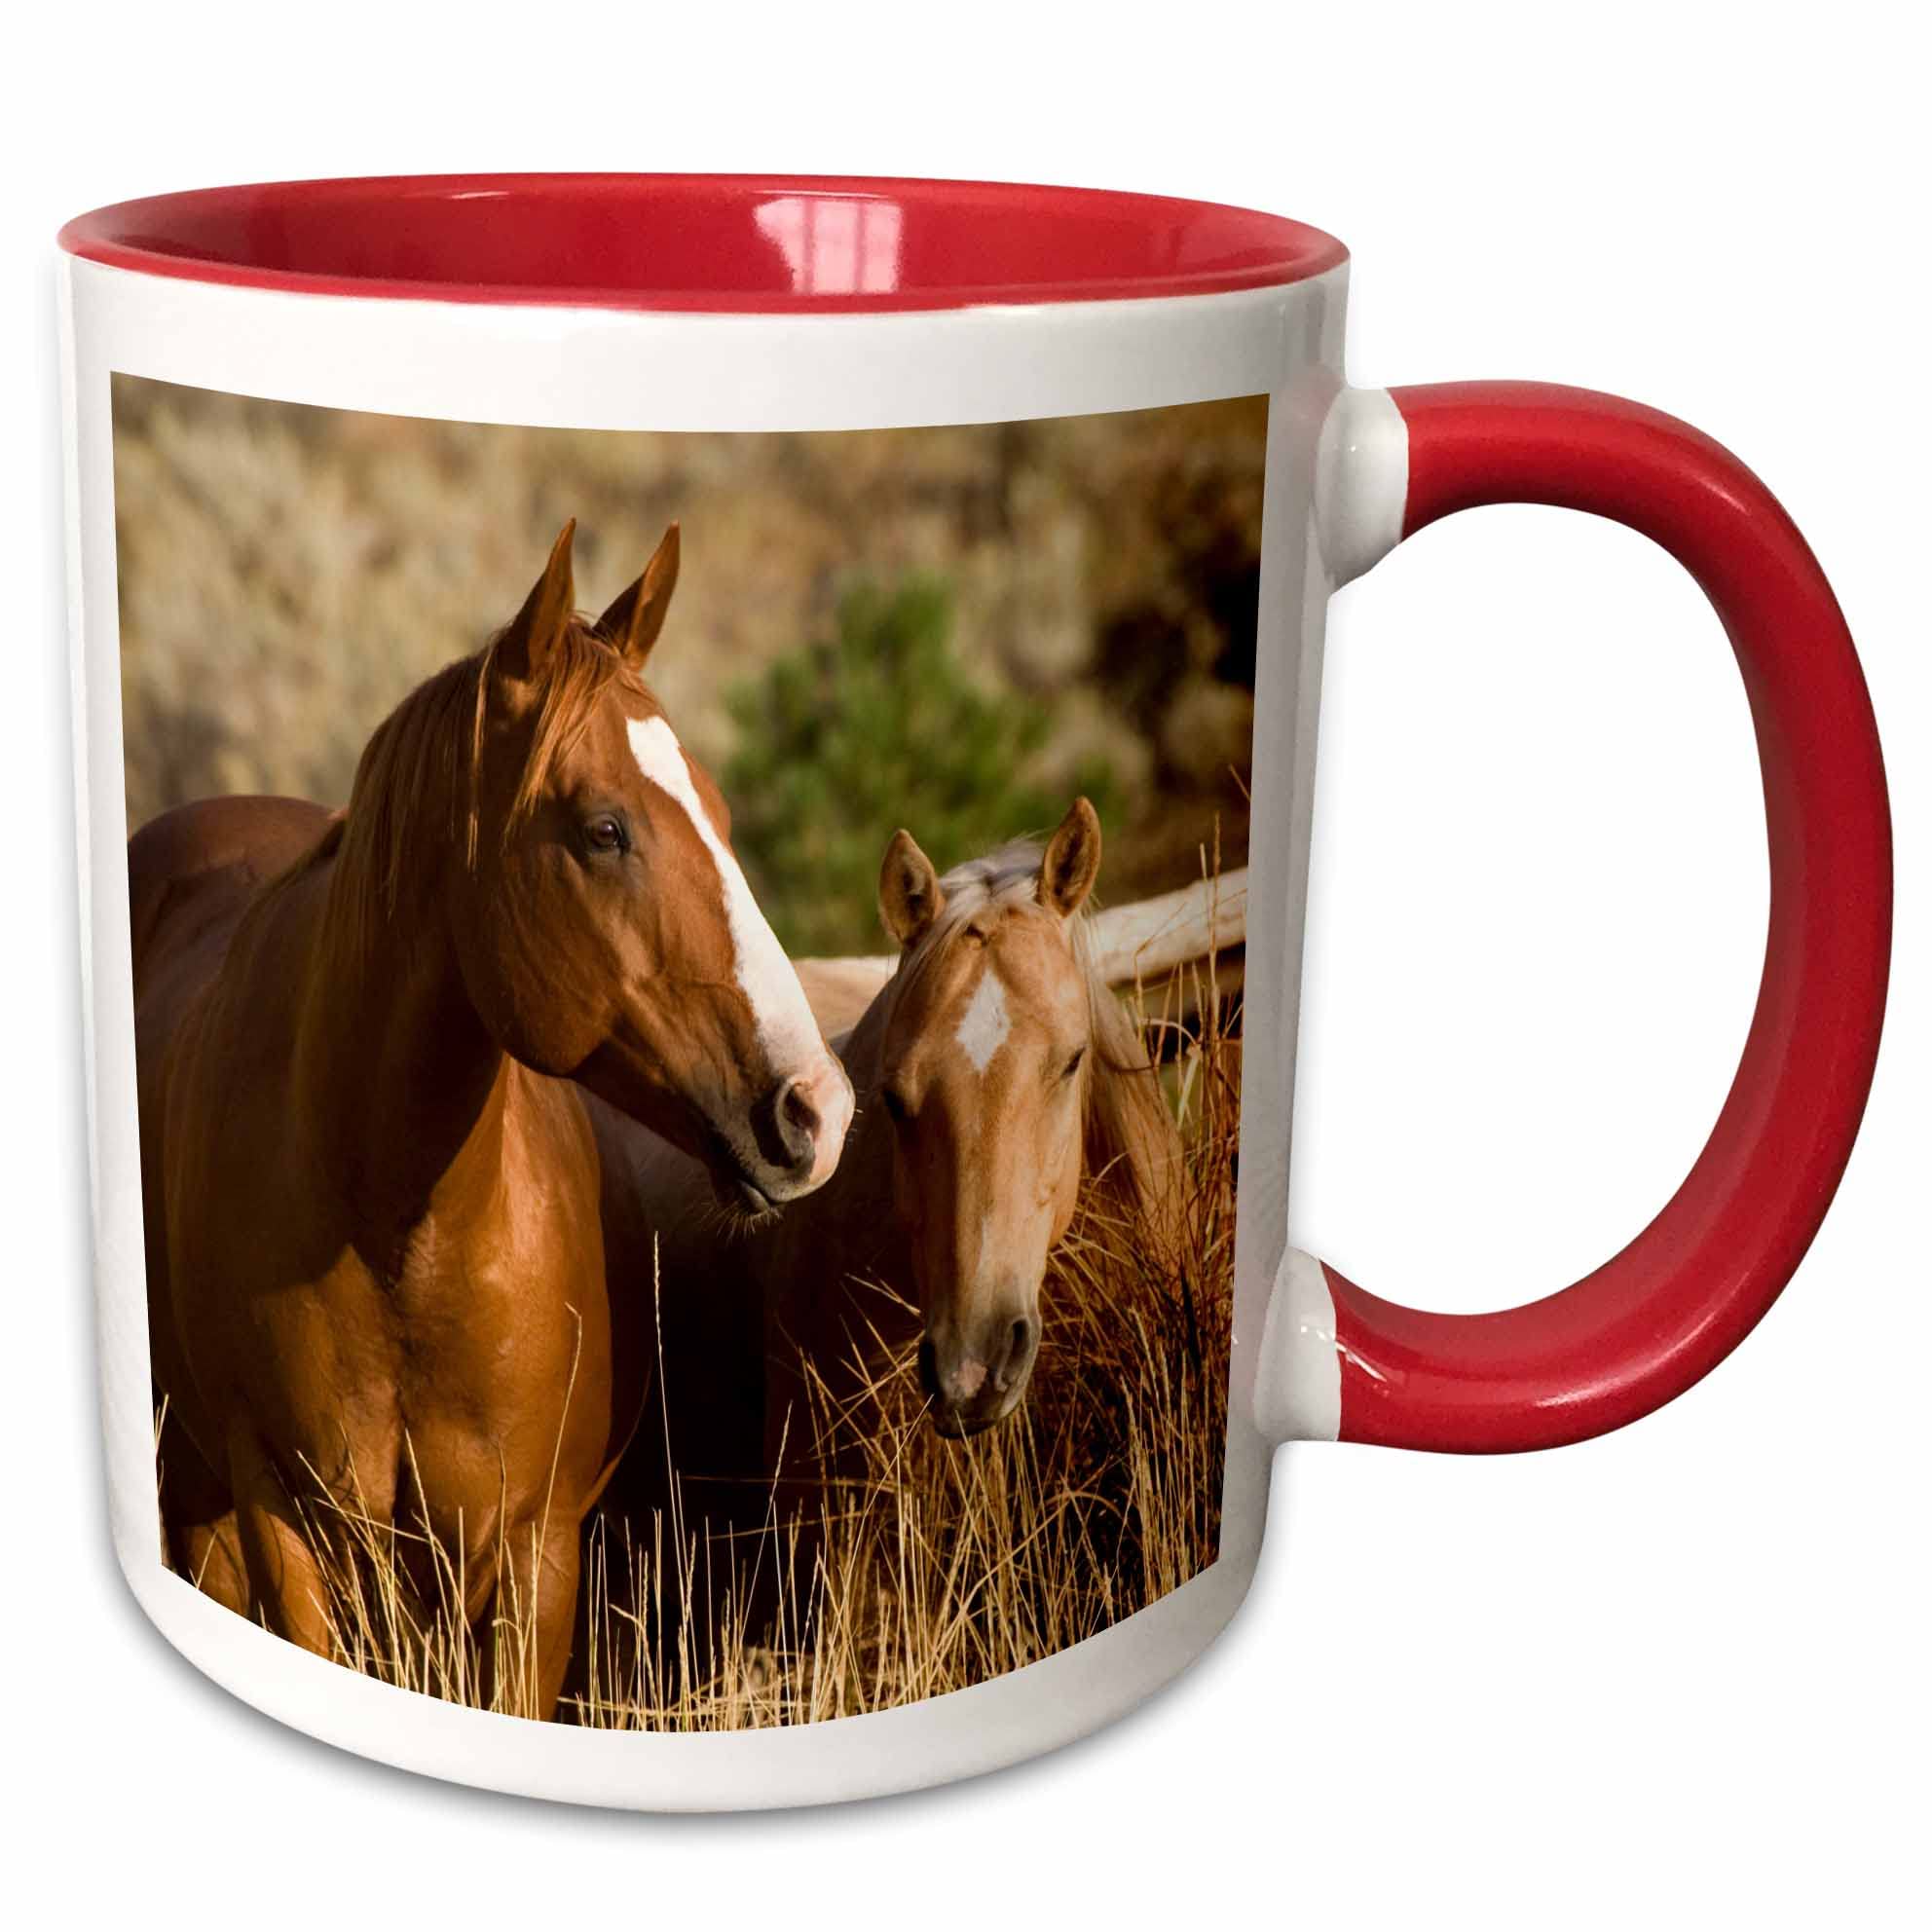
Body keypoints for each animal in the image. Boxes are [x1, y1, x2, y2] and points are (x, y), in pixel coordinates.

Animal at [130, 521, 853, 1716]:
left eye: (718, 811)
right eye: (604, 829)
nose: (816, 1108)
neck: (398, 1233)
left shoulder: (531, 1554)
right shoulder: (286, 1526)